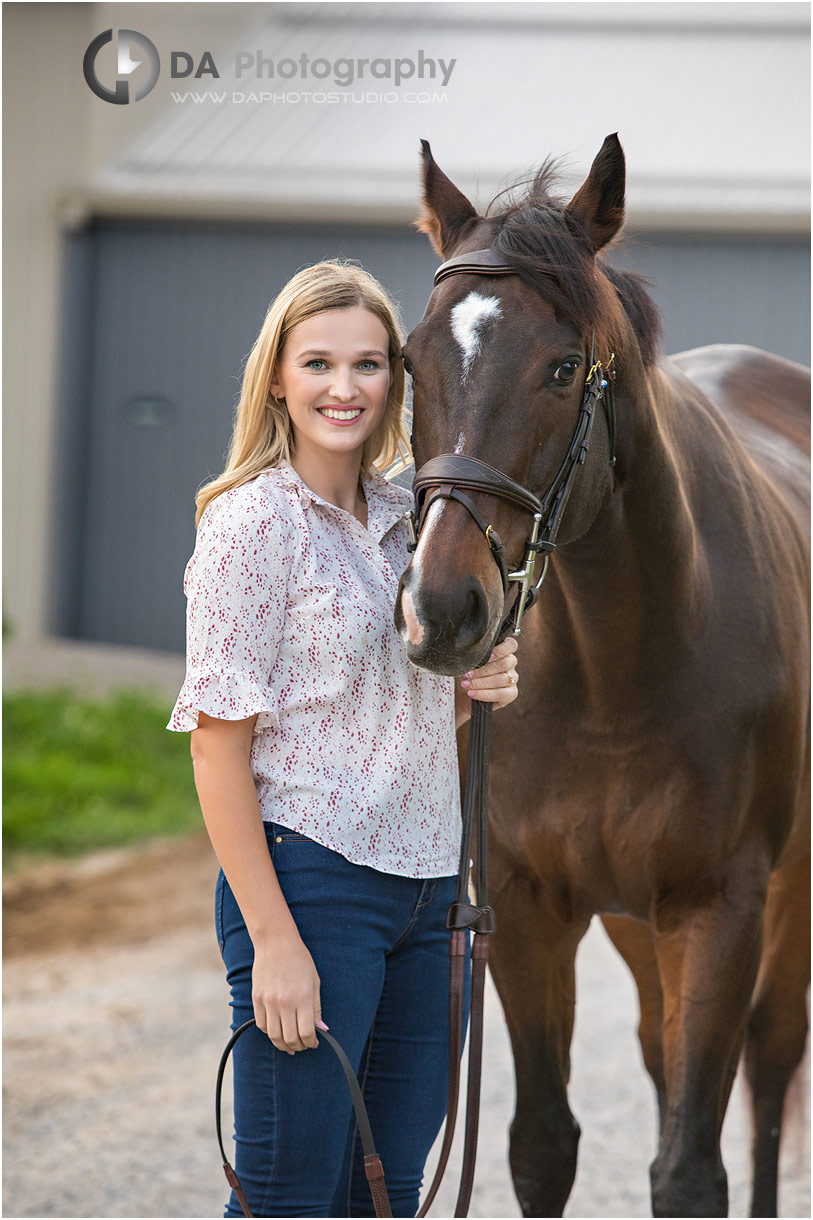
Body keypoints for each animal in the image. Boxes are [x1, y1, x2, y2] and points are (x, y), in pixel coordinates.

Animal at [393, 128, 805, 1215]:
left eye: (563, 367)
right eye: (409, 358)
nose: (442, 609)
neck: (618, 677)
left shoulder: (720, 905)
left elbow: (690, 1164)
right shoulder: (529, 906)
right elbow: (543, 1142)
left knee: (771, 1063)